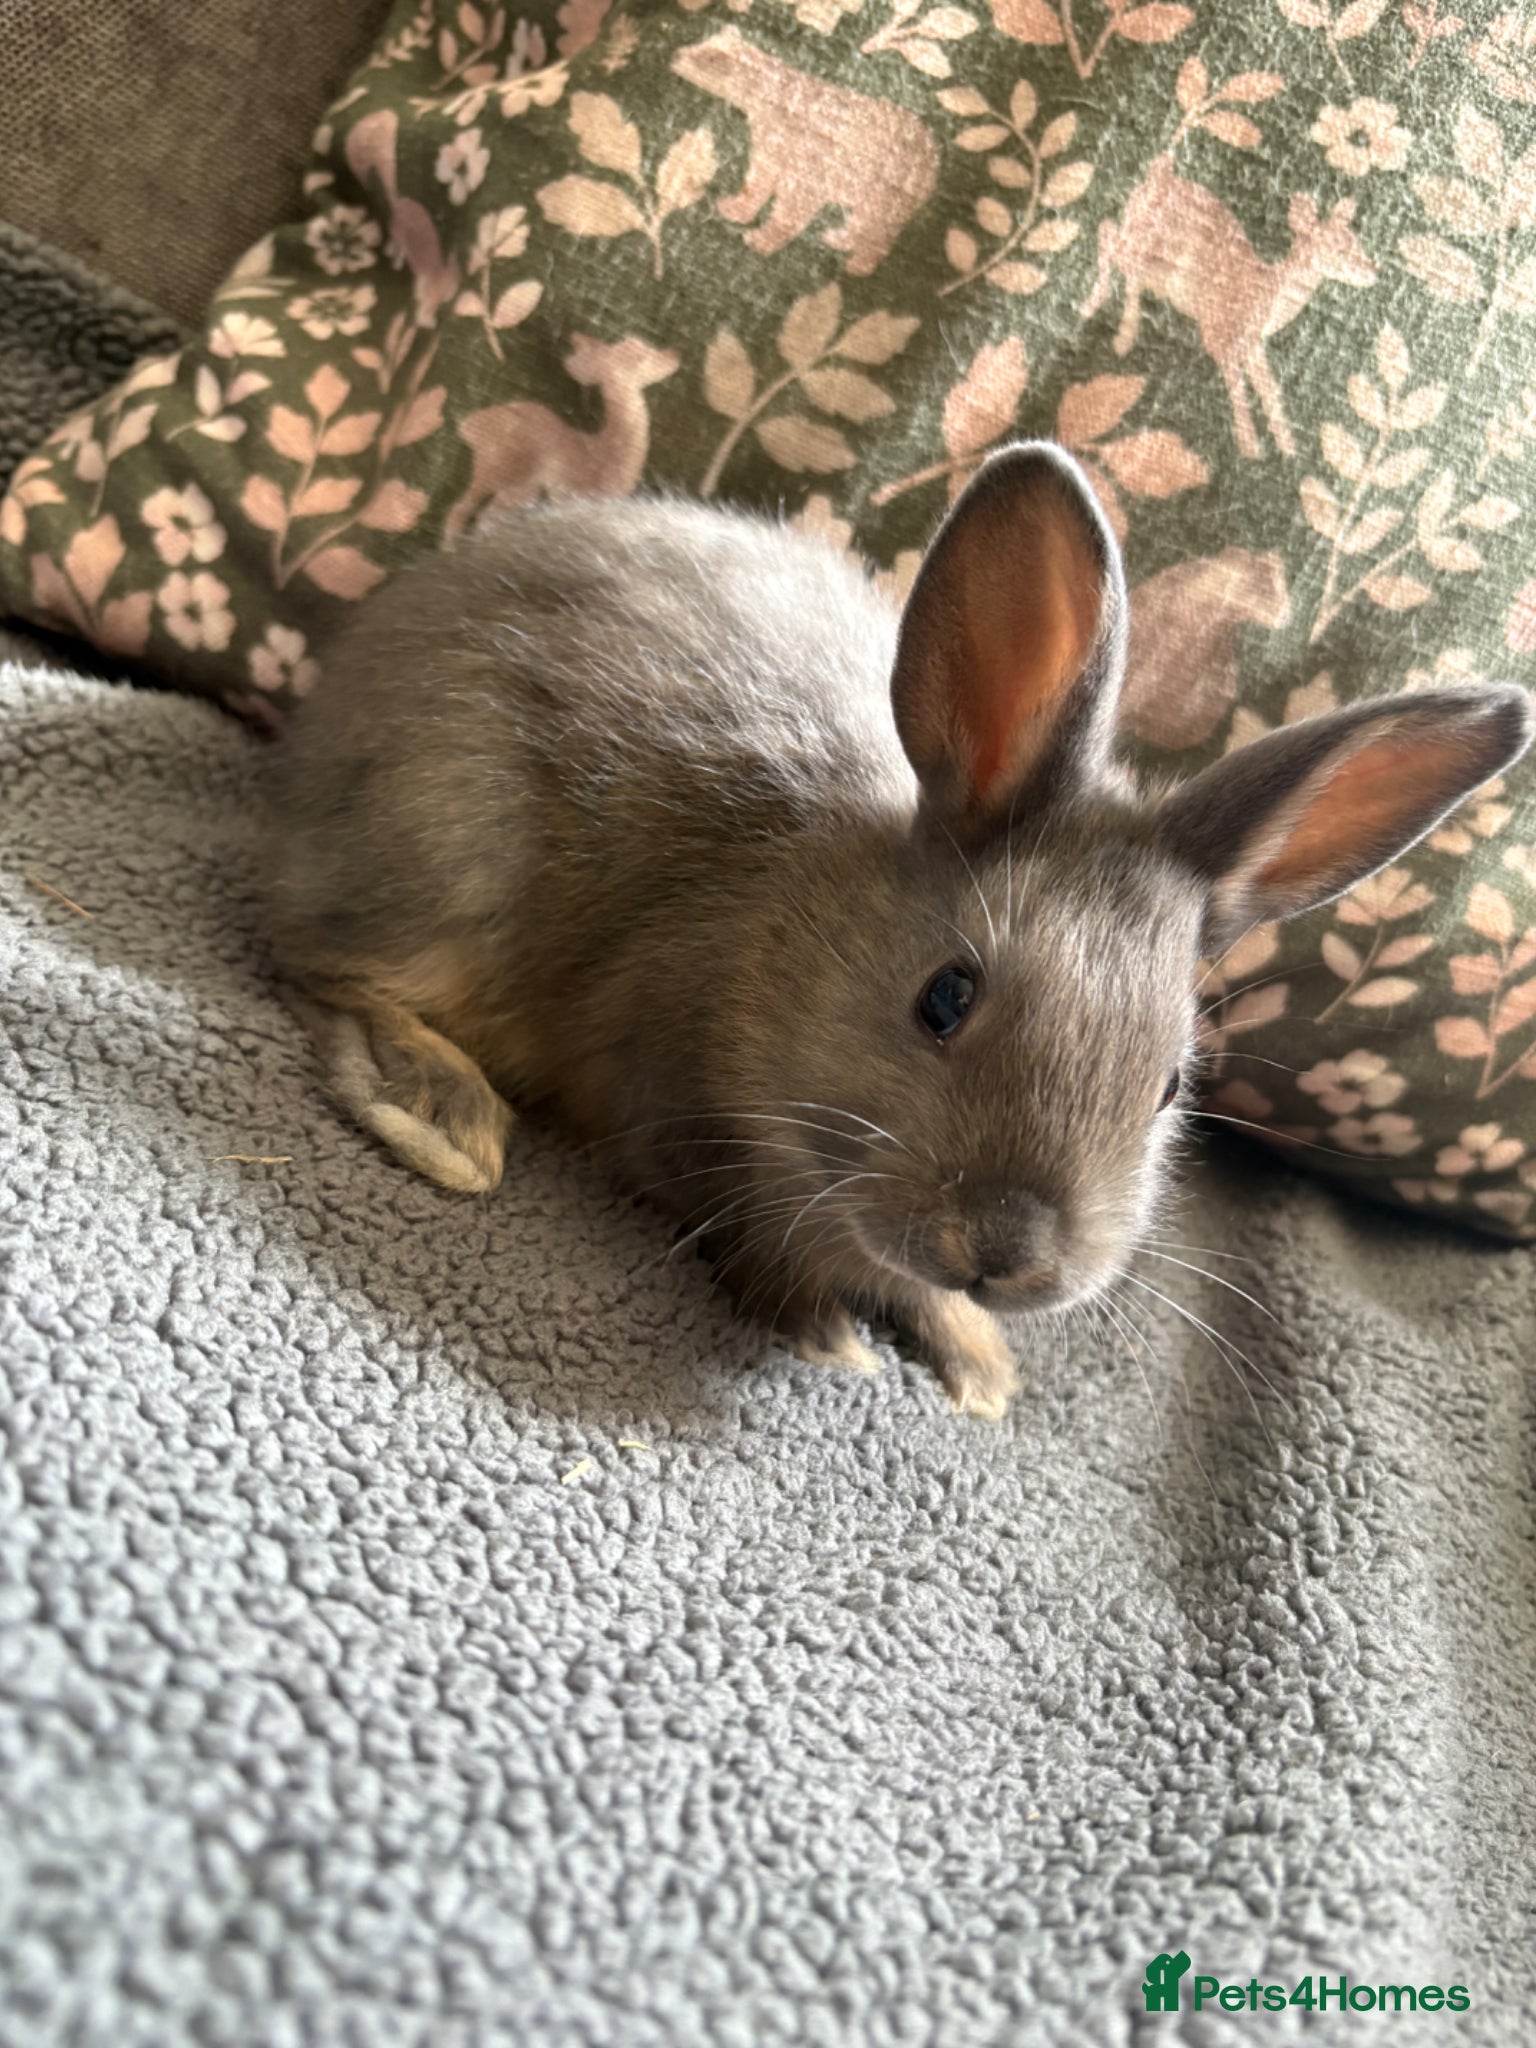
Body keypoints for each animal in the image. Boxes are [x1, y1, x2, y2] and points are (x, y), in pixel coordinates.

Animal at [267, 444, 1532, 1417]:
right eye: (945, 997)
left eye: (1171, 1083)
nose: (1009, 1253)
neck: (790, 945)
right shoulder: (673, 1109)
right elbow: (750, 1236)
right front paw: (833, 1336)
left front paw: (979, 1364)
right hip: (453, 855)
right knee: (317, 956)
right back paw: (442, 1115)